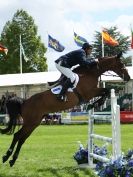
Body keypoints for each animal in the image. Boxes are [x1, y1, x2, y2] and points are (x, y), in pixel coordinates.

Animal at [0, 52, 131, 166]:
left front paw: (94, 104)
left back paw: (12, 160)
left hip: (34, 123)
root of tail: (24, 102)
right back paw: (6, 156)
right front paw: (95, 104)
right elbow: (106, 91)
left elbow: (106, 91)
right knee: (17, 135)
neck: (90, 73)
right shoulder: (89, 93)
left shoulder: (92, 92)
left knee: (22, 139)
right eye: (121, 64)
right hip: (30, 122)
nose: (128, 78)